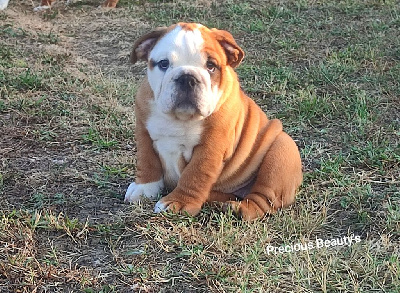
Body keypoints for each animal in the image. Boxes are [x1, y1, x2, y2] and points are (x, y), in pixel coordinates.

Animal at [126, 22, 304, 219]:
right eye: (164, 64)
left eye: (211, 66)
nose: (187, 78)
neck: (180, 118)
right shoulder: (144, 133)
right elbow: (147, 161)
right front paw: (144, 188)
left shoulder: (210, 148)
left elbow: (194, 175)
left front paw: (178, 203)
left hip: (281, 152)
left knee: (262, 199)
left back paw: (239, 208)